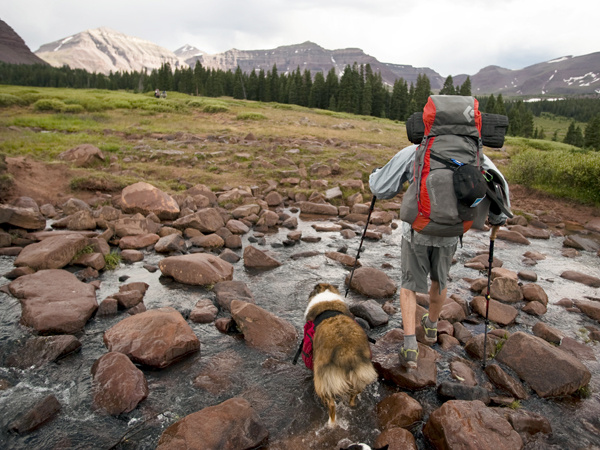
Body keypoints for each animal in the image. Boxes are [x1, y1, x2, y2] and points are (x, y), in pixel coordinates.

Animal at [304, 284, 376, 428]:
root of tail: (347, 352)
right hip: (361, 373)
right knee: (354, 393)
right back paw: (352, 405)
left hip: (324, 378)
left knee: (331, 405)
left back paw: (331, 423)